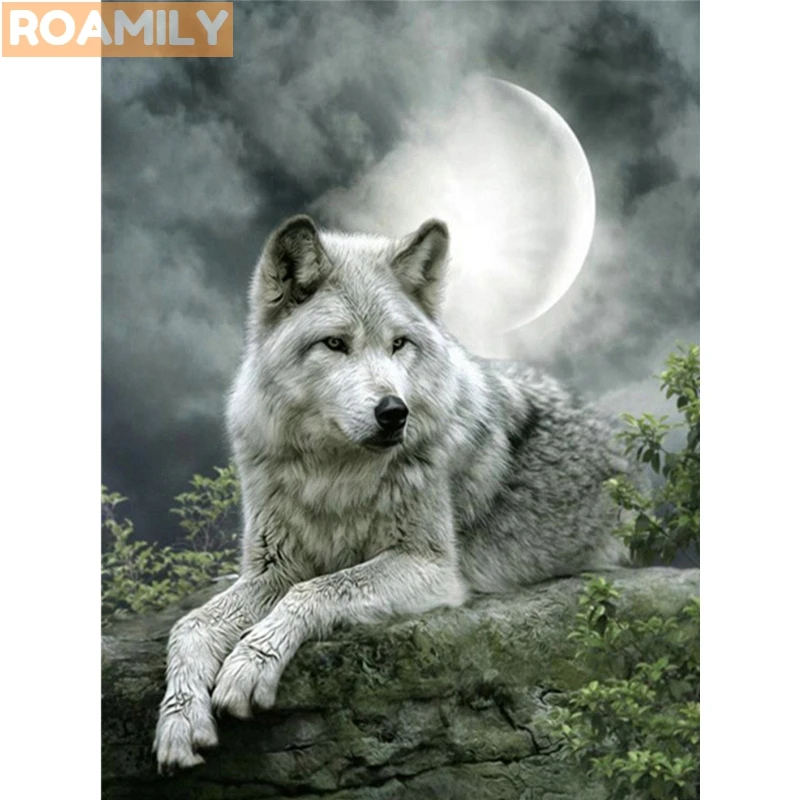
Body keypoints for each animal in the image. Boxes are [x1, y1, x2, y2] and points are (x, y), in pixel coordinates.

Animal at [154, 214, 629, 772]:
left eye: (399, 344)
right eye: (335, 344)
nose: (393, 412)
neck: (334, 475)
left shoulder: (431, 567)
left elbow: (315, 590)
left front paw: (250, 663)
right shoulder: (273, 568)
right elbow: (189, 625)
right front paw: (179, 720)